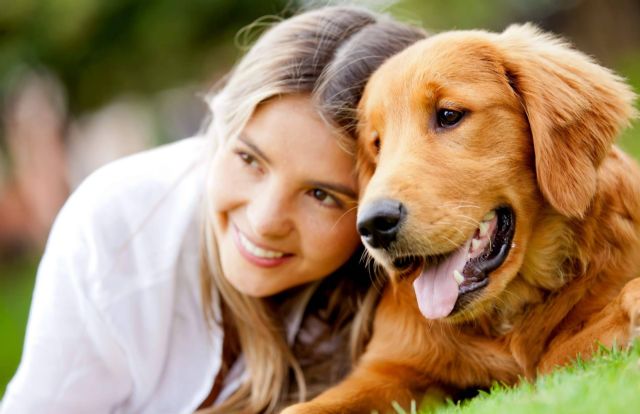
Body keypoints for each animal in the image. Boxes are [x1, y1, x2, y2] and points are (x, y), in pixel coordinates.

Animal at [284, 25, 640, 414]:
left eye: (449, 115)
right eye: (376, 144)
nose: (373, 226)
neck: (504, 313)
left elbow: (558, 352)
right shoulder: (389, 367)